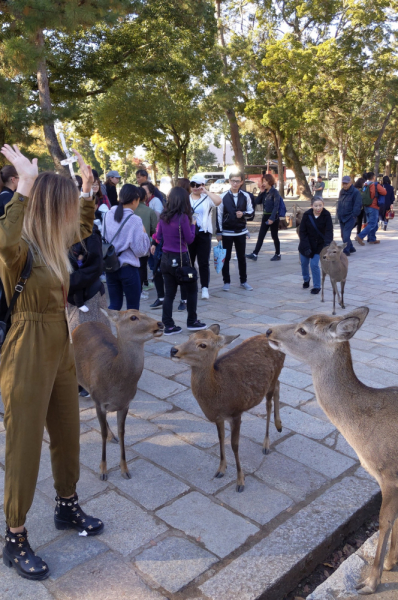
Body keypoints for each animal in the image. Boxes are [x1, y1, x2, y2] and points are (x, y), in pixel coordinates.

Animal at [72, 312, 163, 480]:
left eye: (145, 313)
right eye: (133, 317)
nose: (160, 324)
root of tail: (85, 323)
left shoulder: (125, 404)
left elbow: (122, 433)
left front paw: (125, 469)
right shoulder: (100, 402)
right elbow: (101, 433)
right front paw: (103, 471)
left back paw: (111, 435)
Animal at [169, 328, 284, 492]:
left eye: (203, 345)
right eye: (190, 336)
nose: (173, 350)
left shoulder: (236, 413)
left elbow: (234, 445)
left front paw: (240, 481)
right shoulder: (218, 417)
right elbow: (220, 438)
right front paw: (221, 469)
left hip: (274, 375)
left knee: (268, 404)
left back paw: (266, 444)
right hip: (272, 380)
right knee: (279, 386)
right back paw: (279, 425)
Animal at [266, 310, 398, 596]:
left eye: (303, 330)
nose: (269, 330)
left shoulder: (389, 473)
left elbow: (385, 520)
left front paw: (370, 582)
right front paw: (391, 562)